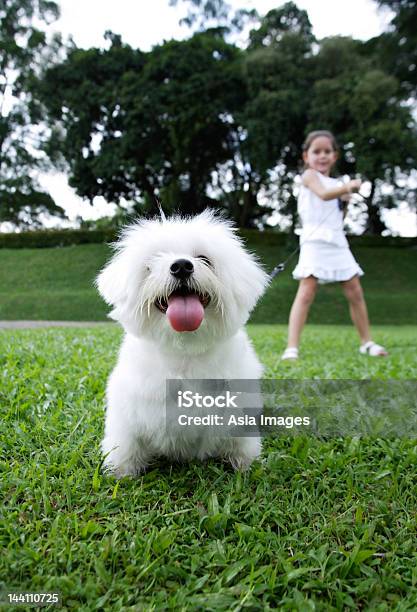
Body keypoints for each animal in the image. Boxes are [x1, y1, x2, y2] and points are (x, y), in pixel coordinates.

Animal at [96, 212, 268, 478]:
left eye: (204, 259)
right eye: (152, 262)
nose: (181, 266)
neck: (185, 349)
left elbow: (240, 441)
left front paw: (242, 463)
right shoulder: (130, 410)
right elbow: (127, 443)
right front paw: (122, 471)